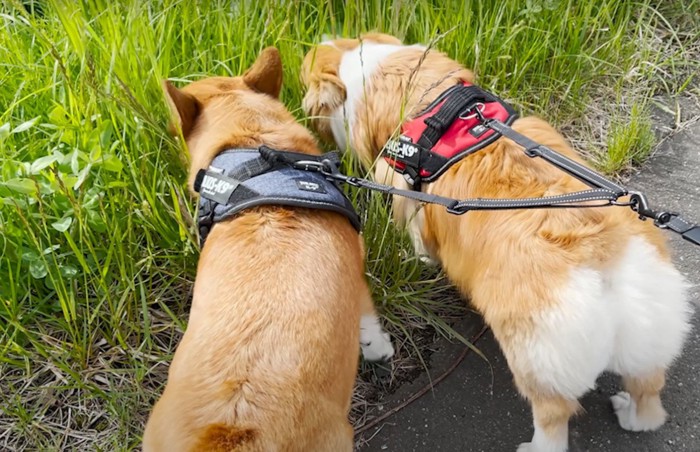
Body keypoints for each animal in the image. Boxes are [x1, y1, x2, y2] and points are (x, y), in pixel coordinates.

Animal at [298, 34, 692, 452]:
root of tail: (605, 262)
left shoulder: (406, 197)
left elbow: (419, 242)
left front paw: (418, 260)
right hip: (649, 347)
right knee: (648, 401)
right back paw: (628, 411)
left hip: (536, 362)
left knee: (553, 421)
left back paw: (534, 446)